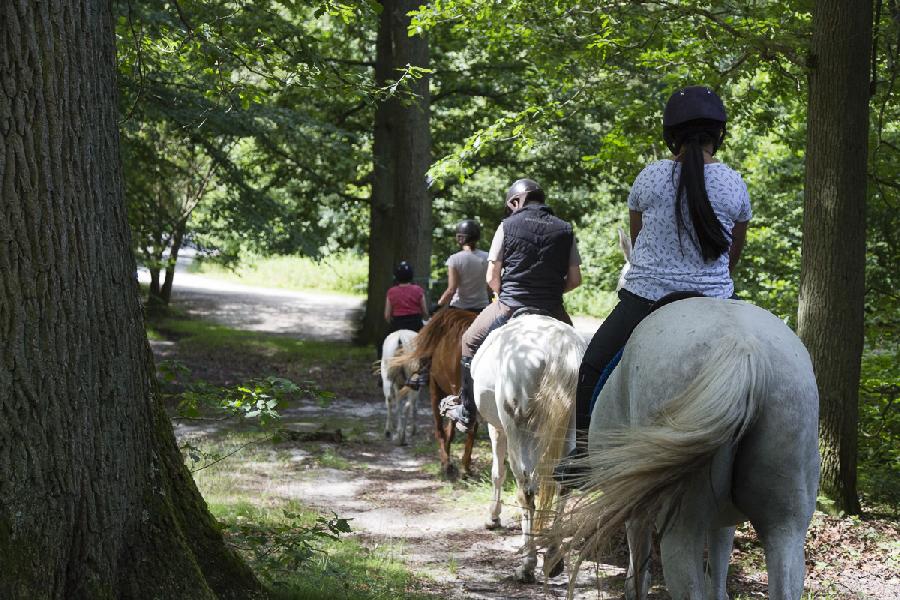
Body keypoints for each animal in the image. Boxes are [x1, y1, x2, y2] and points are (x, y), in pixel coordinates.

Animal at [468, 314, 588, 580]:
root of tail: (557, 346)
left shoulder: (497, 428)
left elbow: (497, 473)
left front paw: (493, 517)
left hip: (517, 431)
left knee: (526, 490)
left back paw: (527, 564)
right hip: (569, 428)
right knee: (564, 484)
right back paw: (553, 558)